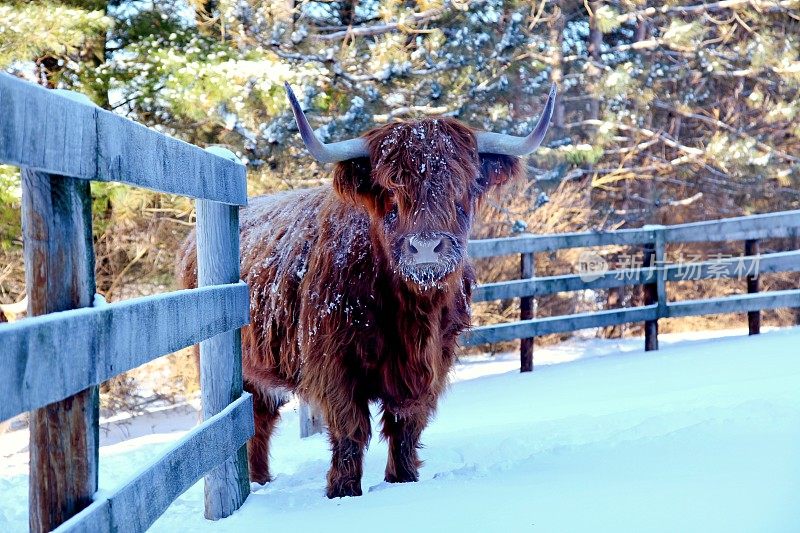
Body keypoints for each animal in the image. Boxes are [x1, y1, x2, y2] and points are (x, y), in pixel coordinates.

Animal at [177, 82, 552, 494]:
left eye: (463, 189)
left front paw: (403, 481)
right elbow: (350, 430)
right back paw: (259, 483)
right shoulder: (333, 366)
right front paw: (343, 492)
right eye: (390, 192)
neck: (410, 313)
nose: (426, 247)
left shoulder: (430, 366)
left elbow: (405, 429)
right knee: (256, 422)